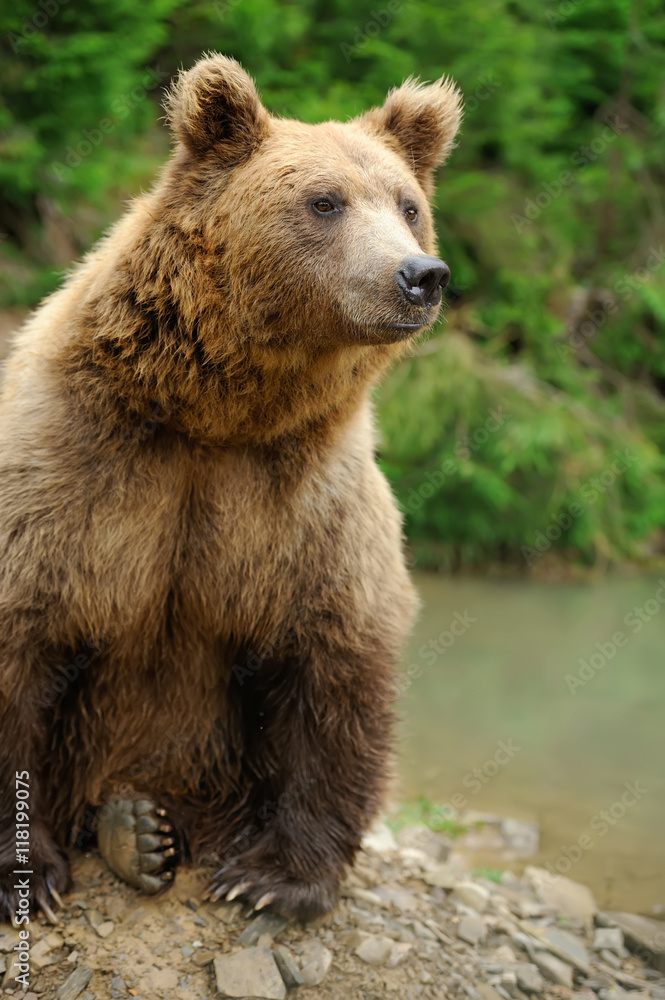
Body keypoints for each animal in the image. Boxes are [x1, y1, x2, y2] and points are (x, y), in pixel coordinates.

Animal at [0, 50, 462, 916]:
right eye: (324, 201)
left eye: (408, 205)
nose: (420, 275)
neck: (215, 417)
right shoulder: (69, 470)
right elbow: (26, 640)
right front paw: (30, 875)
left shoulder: (307, 503)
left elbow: (332, 660)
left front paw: (273, 879)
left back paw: (140, 832)